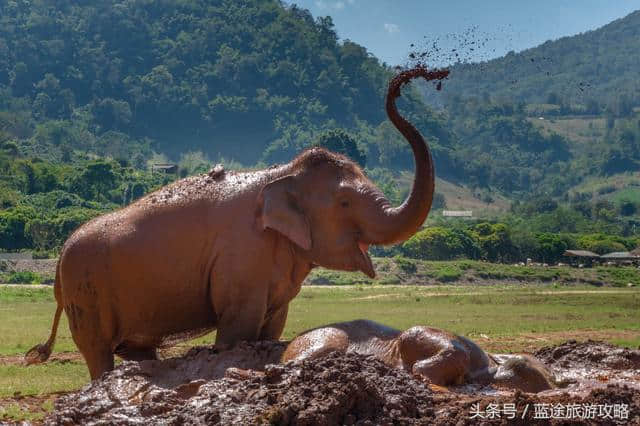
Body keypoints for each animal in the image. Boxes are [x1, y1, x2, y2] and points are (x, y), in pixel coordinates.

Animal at [25, 66, 450, 380]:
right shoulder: (242, 258)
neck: (282, 172)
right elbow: (237, 326)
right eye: (345, 202)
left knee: (138, 350)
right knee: (98, 351)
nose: (407, 81)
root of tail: (59, 259)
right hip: (86, 293)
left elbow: (272, 325)